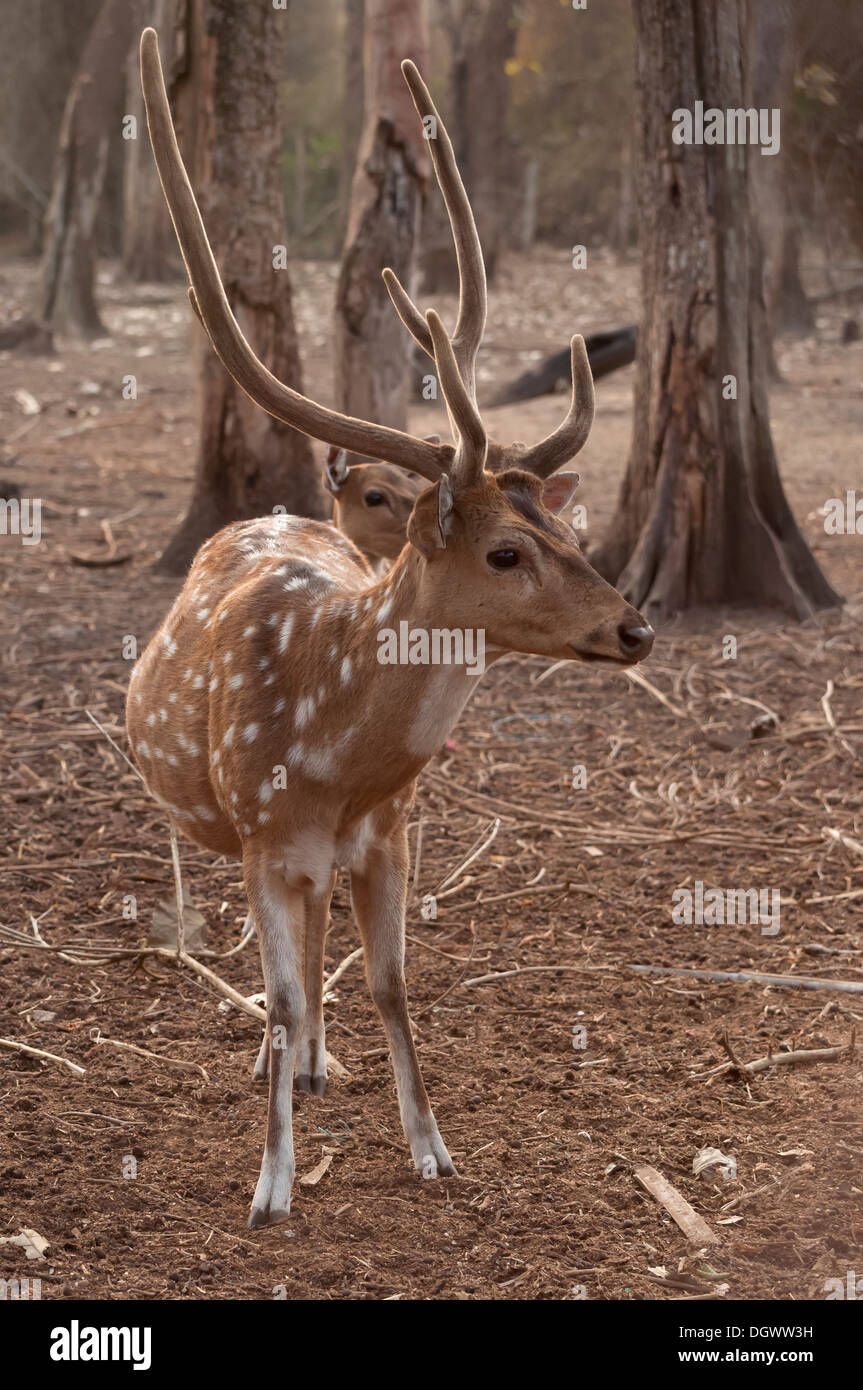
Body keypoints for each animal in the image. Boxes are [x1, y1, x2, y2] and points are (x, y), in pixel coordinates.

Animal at [131, 29, 650, 1228]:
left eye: (563, 521)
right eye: (503, 552)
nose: (632, 627)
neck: (336, 762)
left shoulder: (393, 828)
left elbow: (393, 980)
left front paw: (431, 1147)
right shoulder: (264, 831)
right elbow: (279, 997)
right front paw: (271, 1186)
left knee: (322, 939)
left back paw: (319, 1064)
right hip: (239, 833)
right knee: (276, 966)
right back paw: (283, 1068)